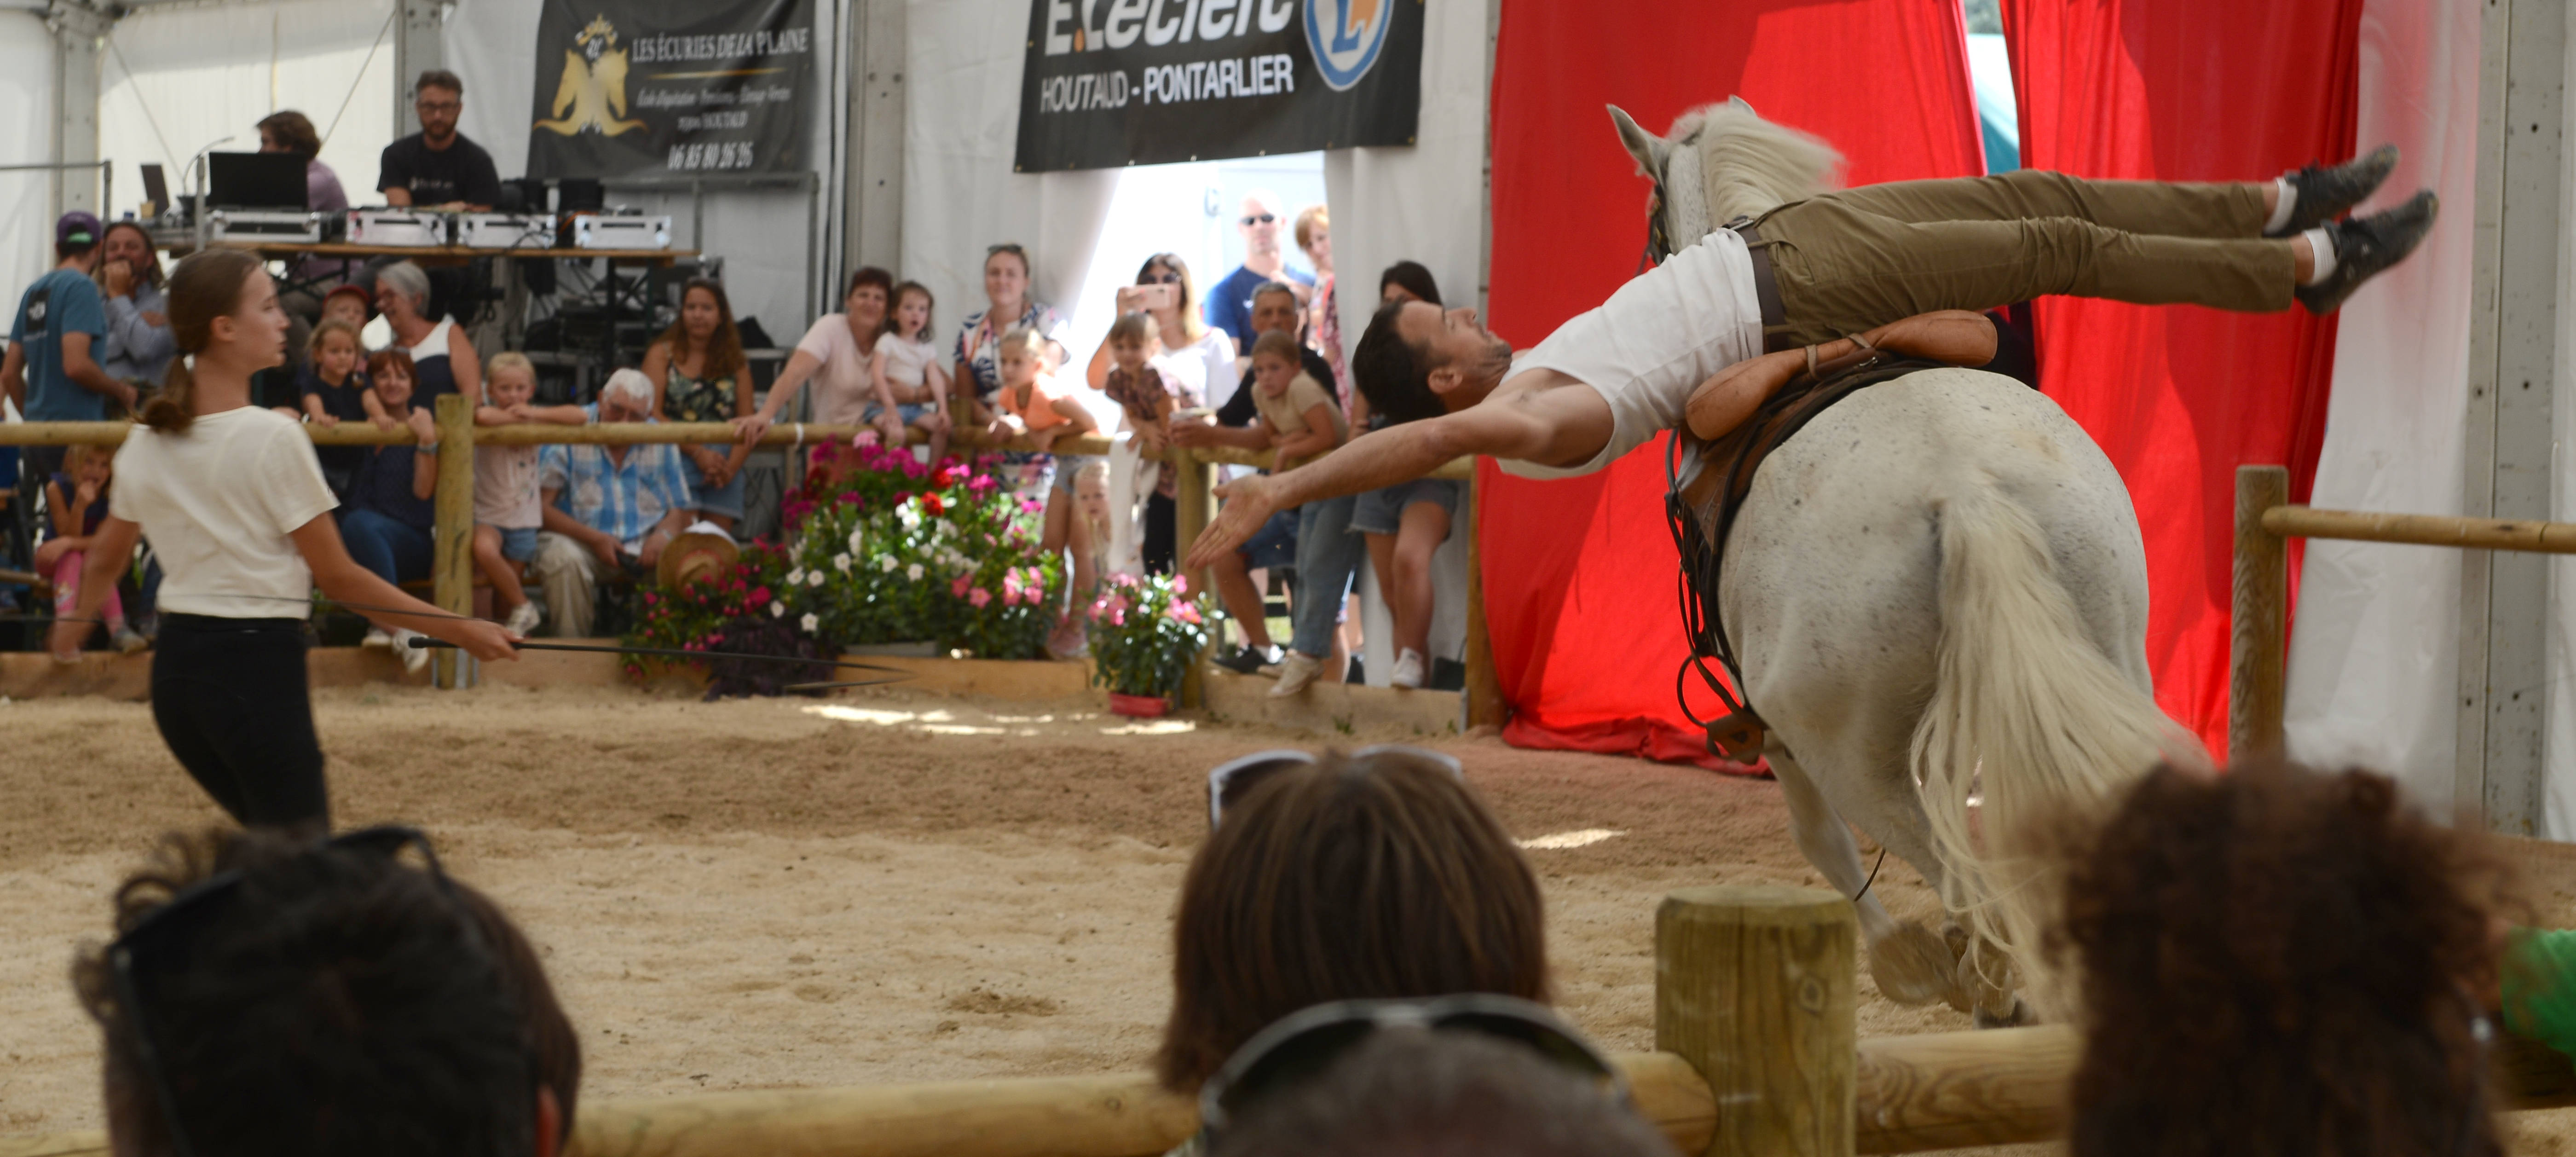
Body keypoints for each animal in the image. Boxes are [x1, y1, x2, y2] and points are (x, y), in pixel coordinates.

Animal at [1617, 102, 2184, 1020]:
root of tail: (1964, 488)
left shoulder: (1777, 728)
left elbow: (1821, 842)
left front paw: (1901, 959)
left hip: (1851, 757)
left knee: (1967, 891)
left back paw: (1967, 982)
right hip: (2111, 659)